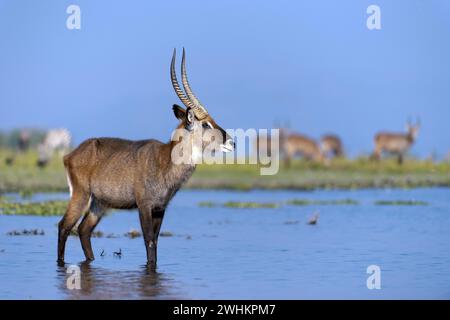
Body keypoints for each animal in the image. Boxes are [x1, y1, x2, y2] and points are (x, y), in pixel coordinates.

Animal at [57, 48, 236, 268]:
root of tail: (71, 154)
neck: (165, 161)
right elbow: (149, 240)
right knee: (64, 226)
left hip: (99, 203)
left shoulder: (160, 209)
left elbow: (156, 242)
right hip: (81, 196)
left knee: (83, 230)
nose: (232, 142)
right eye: (205, 124)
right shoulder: (144, 206)